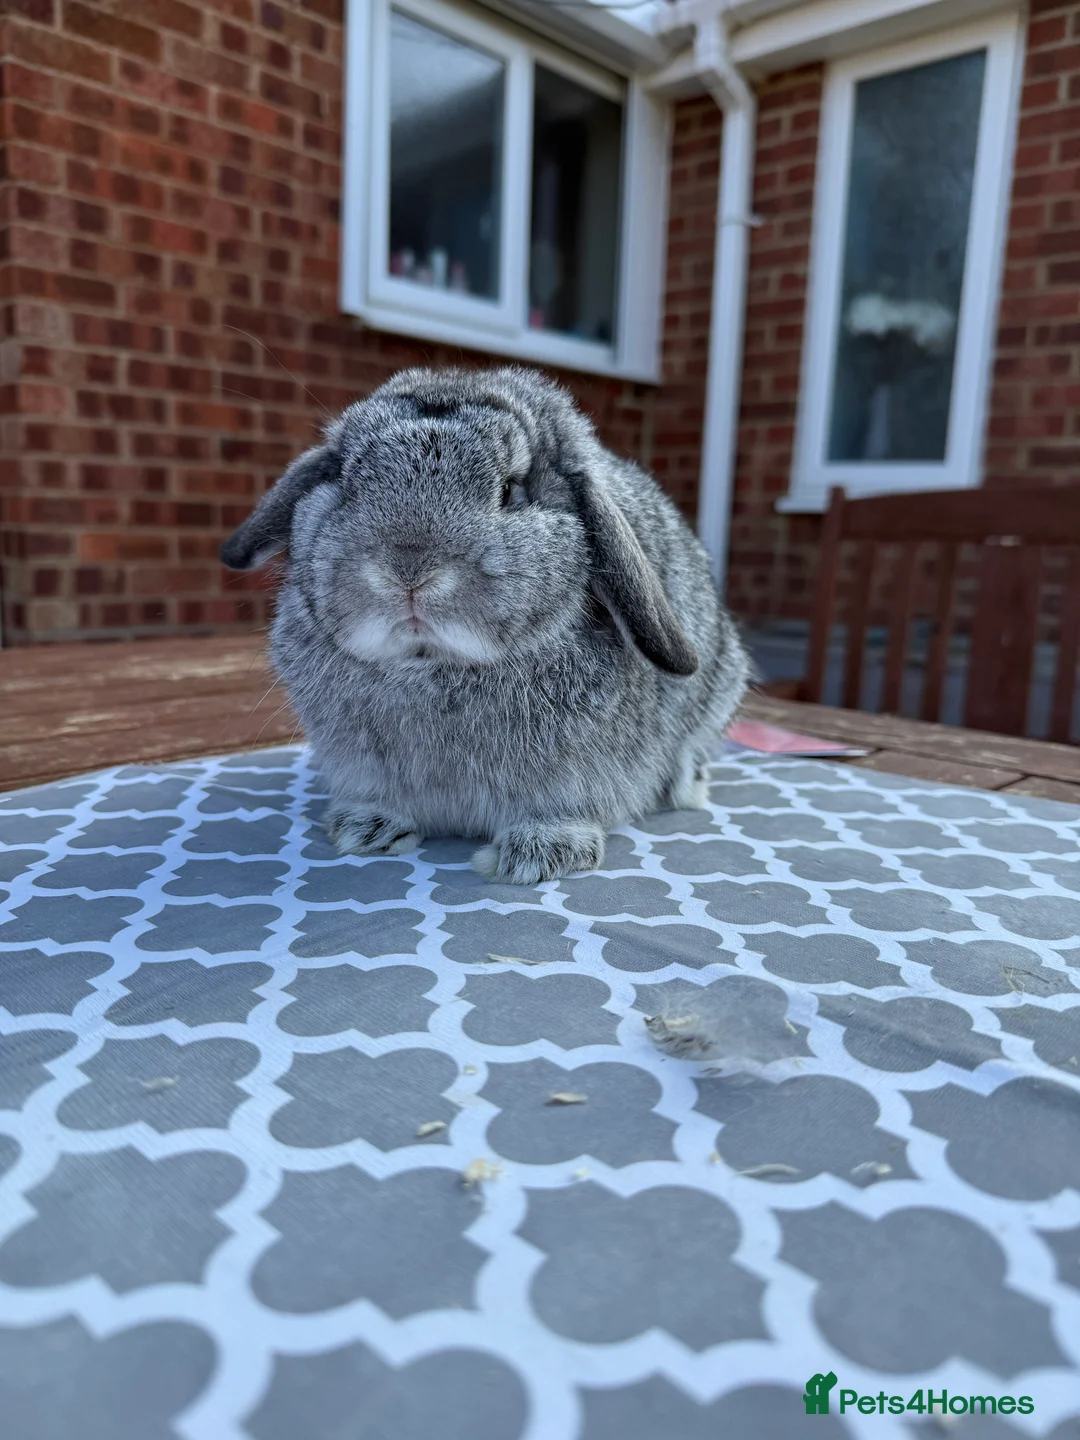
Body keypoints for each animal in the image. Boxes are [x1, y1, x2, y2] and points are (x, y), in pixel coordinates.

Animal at [220, 366, 750, 884]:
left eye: (510, 490)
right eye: (347, 482)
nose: (408, 571)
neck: (430, 665)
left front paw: (537, 856)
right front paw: (366, 829)